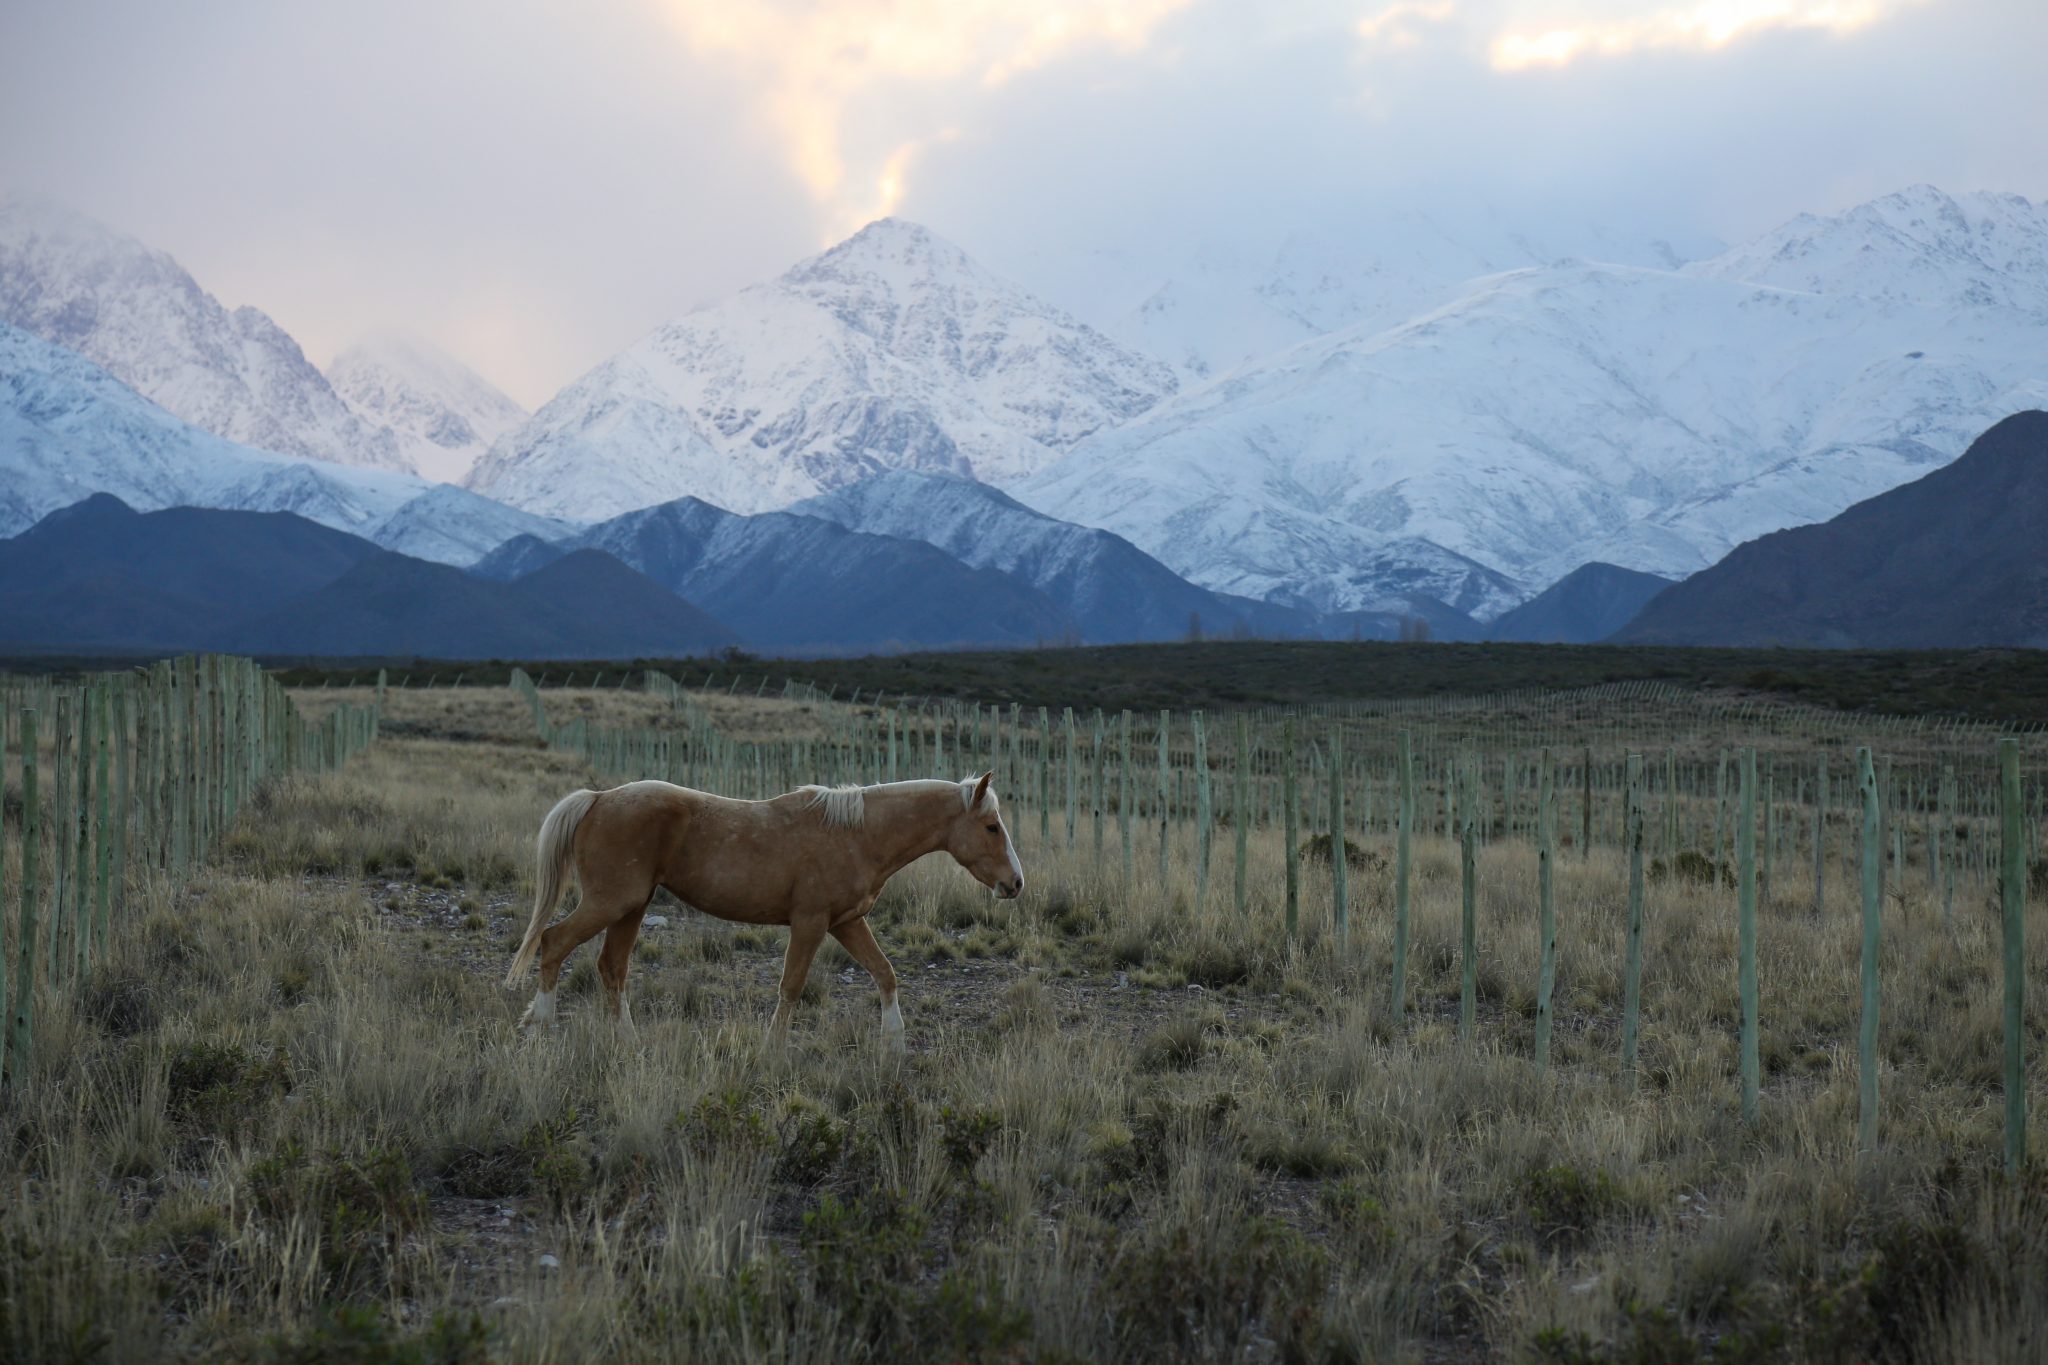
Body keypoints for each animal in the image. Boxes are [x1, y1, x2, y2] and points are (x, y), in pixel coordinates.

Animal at [503, 771, 1024, 1049]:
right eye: (992, 827)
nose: (1015, 884)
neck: (856, 835)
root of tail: (597, 799)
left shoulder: (846, 923)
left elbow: (885, 973)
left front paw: (893, 1042)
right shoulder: (810, 923)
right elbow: (791, 986)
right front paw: (773, 1048)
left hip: (631, 908)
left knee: (611, 968)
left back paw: (629, 1043)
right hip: (611, 902)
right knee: (553, 942)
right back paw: (537, 1027)